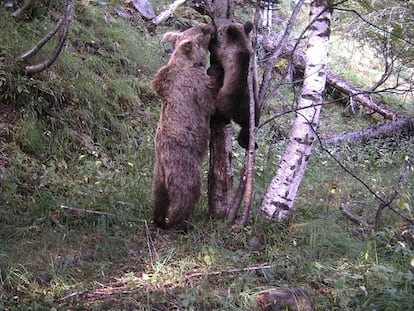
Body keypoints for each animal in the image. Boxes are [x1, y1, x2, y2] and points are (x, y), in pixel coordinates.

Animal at [152, 23, 217, 232]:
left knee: (159, 197)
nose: (211, 26)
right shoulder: (195, 85)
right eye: (203, 31)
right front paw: (217, 73)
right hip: (183, 163)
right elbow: (211, 102)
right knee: (186, 192)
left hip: (158, 174)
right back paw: (180, 223)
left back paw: (158, 219)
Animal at [209, 21, 260, 149]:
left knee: (220, 114)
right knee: (250, 126)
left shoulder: (226, 53)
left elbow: (216, 52)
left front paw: (212, 41)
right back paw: (248, 142)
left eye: (223, 29)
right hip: (254, 109)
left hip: (224, 100)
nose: (220, 29)